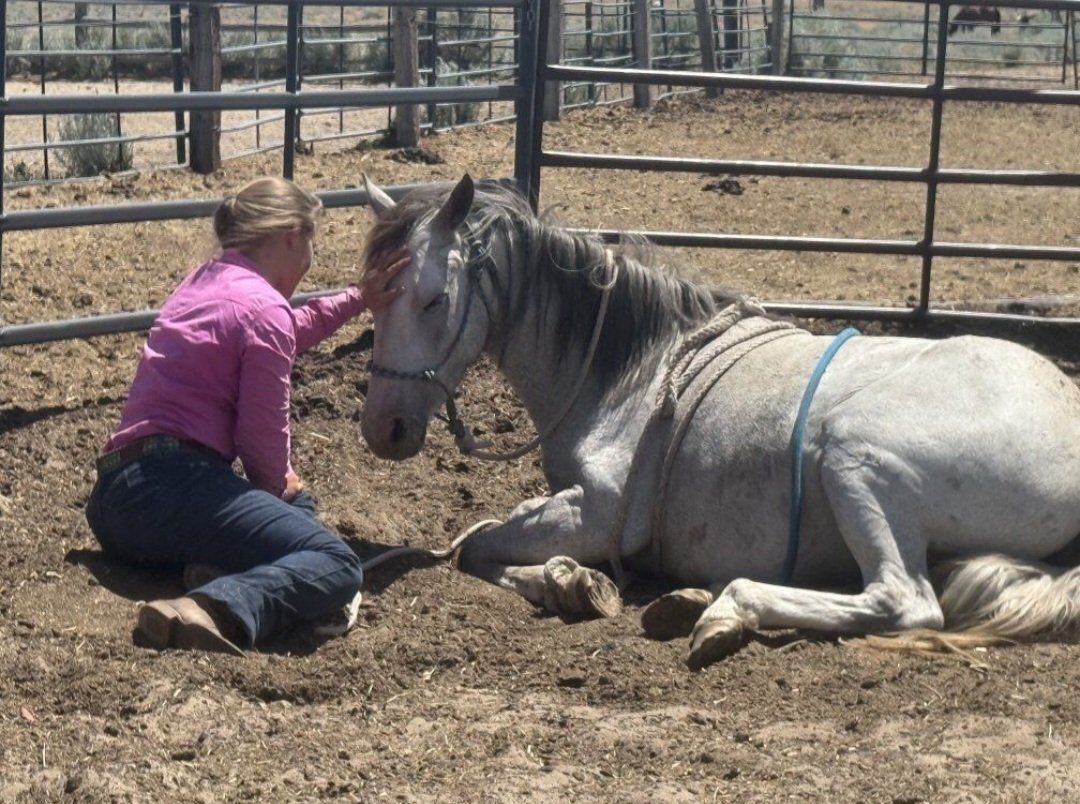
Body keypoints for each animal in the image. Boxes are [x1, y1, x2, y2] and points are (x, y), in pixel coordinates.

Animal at [359, 174, 1080, 669]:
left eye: (435, 299)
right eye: (372, 296)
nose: (382, 429)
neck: (633, 371)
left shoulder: (598, 511)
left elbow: (476, 549)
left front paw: (575, 584)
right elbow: (478, 540)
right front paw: (574, 581)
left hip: (855, 457)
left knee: (902, 601)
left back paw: (727, 609)